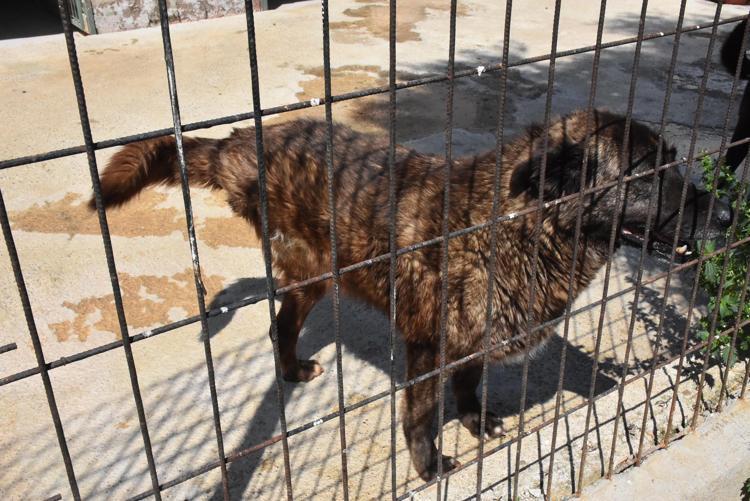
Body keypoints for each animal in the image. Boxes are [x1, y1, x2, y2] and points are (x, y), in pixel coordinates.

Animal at [90, 109, 731, 481]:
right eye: (647, 173)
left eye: (674, 161)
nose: (727, 213)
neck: (514, 226)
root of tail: (246, 138)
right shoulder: (426, 348)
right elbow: (421, 416)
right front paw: (429, 467)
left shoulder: (471, 346)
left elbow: (468, 386)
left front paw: (475, 422)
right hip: (314, 271)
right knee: (282, 322)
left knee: (279, 323)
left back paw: (292, 370)